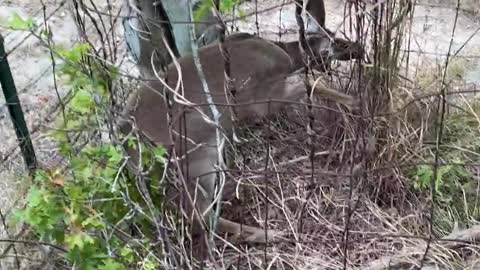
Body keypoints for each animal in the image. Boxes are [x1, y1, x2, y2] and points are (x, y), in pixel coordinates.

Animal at [120, 31, 364, 243]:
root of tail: (126, 139)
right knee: (200, 215)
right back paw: (267, 234)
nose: (360, 48)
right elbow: (310, 85)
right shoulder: (263, 99)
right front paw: (354, 102)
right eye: (338, 41)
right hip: (196, 154)